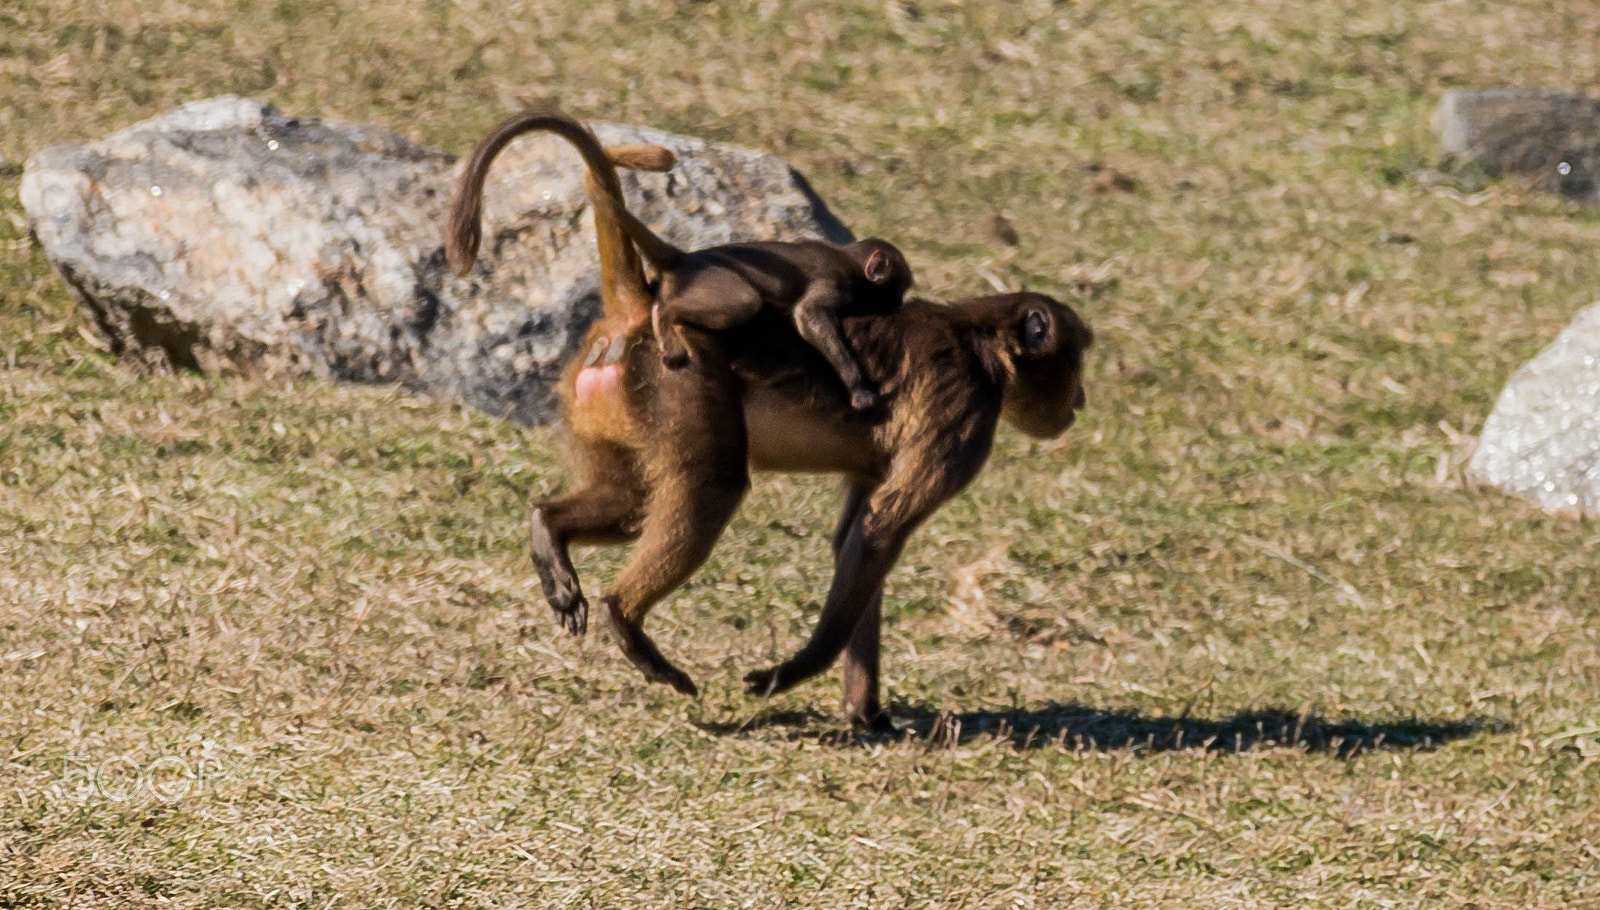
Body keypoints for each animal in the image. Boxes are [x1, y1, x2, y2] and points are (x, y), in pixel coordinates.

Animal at [588, 183, 915, 407]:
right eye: (900, 286)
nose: (899, 304)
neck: (850, 261)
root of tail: (685, 259)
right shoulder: (834, 282)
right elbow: (809, 316)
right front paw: (859, 389)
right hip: (716, 282)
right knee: (743, 303)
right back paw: (665, 319)